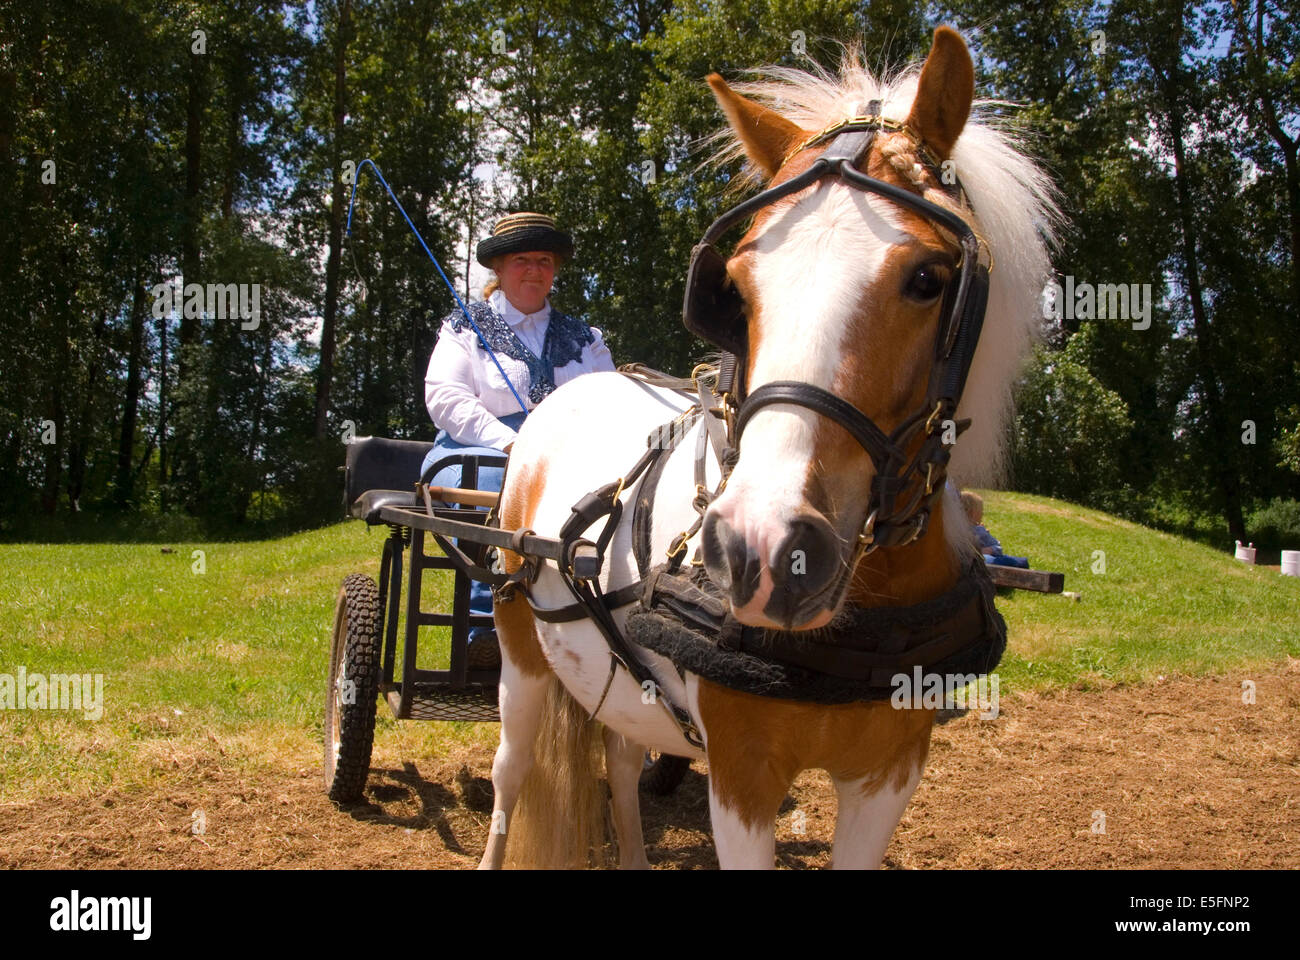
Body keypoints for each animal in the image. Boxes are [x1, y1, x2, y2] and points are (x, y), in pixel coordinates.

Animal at [477, 26, 1057, 869]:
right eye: (738, 289)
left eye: (928, 278)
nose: (765, 550)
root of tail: (572, 389)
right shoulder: (741, 775)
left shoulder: (890, 772)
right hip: (519, 651)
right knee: (509, 773)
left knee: (619, 758)